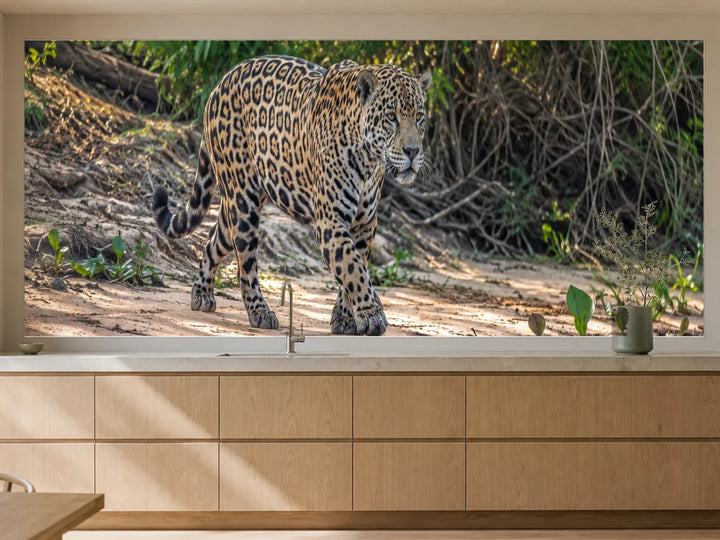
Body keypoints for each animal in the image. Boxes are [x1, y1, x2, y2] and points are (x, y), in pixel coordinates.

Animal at [152, 55, 431, 336]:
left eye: (419, 118)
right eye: (391, 117)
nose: (412, 151)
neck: (369, 161)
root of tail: (220, 83)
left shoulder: (365, 224)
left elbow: (353, 268)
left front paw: (344, 318)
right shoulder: (330, 220)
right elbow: (352, 267)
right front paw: (372, 315)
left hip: (240, 203)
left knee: (215, 241)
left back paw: (202, 293)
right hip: (243, 202)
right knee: (246, 265)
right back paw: (260, 313)